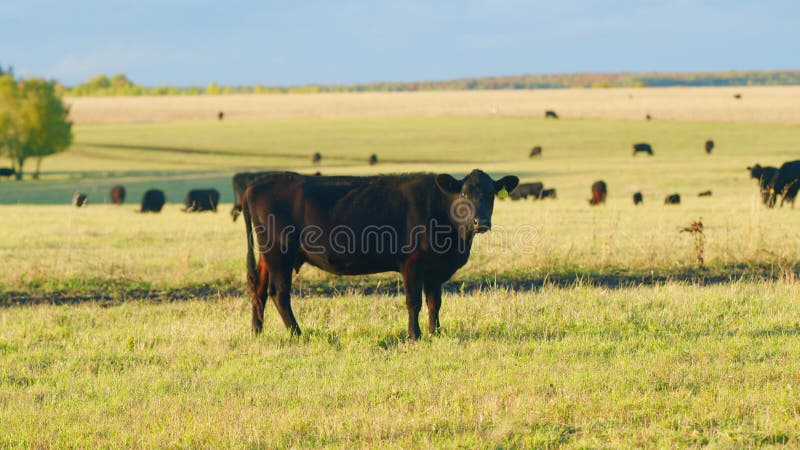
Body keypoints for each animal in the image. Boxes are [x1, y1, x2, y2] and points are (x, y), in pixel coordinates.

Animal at [244, 171, 520, 340]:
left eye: (491, 195)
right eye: (464, 194)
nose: (481, 222)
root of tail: (257, 183)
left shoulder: (434, 269)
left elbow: (434, 302)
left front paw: (436, 333)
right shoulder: (412, 262)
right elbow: (413, 301)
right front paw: (414, 335)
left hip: (268, 255)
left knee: (258, 287)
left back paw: (257, 332)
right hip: (279, 252)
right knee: (279, 293)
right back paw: (297, 333)